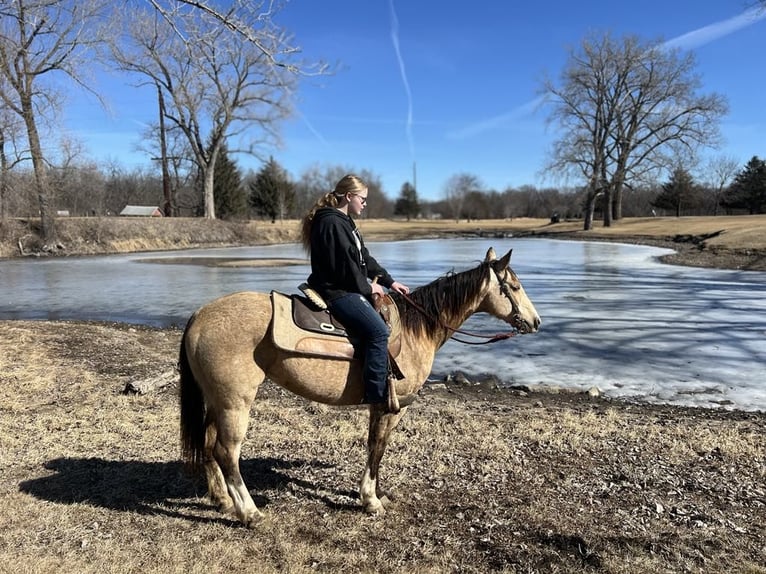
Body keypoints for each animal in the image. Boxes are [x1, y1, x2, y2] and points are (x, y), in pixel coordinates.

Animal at [179, 247, 541, 526]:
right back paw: (250, 513)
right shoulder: (391, 405)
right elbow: (377, 448)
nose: (535, 322)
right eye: (514, 286)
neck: (416, 330)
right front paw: (371, 500)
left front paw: (374, 495)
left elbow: (374, 447)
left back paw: (223, 501)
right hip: (235, 402)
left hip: (217, 400)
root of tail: (199, 316)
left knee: (209, 445)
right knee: (227, 452)